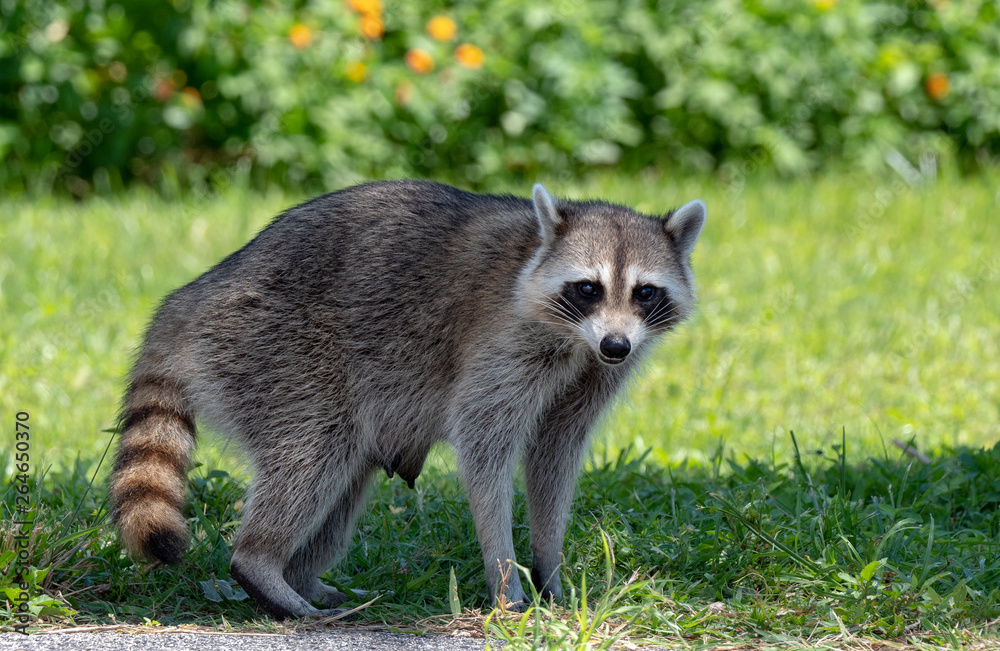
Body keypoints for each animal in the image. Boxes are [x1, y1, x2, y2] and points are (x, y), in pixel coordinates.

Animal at [109, 180, 706, 619]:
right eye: (588, 288)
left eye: (644, 292)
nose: (616, 345)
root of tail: (191, 297)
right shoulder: (505, 341)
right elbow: (484, 448)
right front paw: (504, 573)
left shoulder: (592, 375)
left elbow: (554, 456)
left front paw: (549, 565)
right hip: (276, 352)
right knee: (313, 456)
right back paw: (261, 564)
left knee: (341, 484)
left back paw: (301, 575)